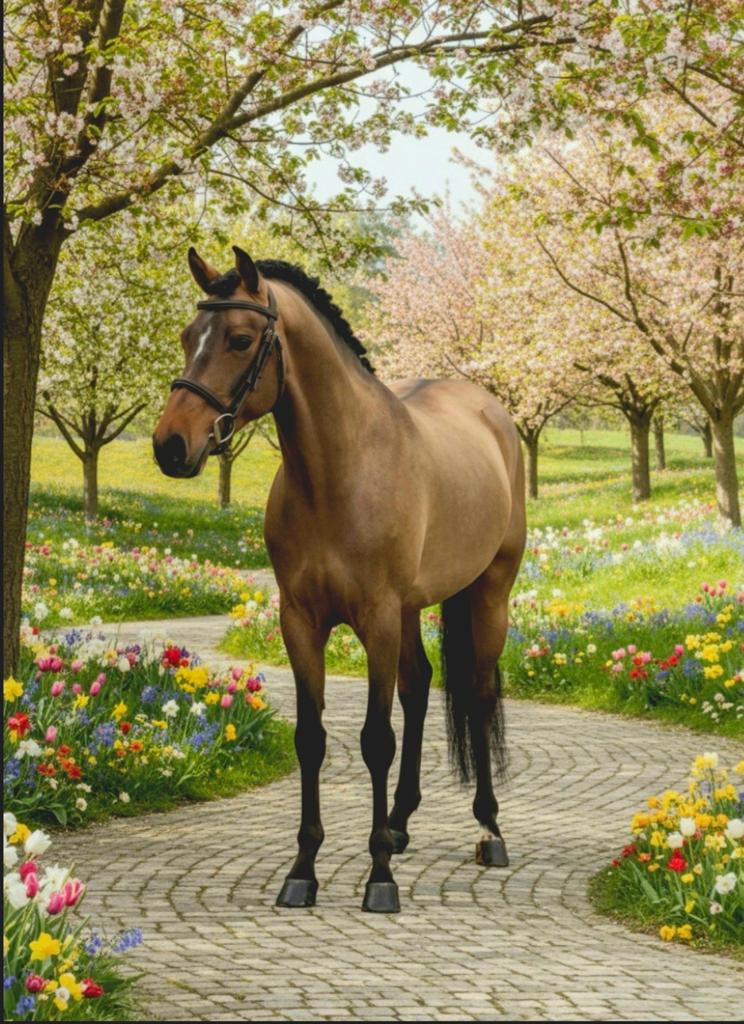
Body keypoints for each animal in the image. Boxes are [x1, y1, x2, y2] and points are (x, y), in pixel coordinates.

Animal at [153, 246, 526, 913]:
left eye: (240, 339)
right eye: (187, 337)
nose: (171, 445)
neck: (340, 469)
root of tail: (493, 414)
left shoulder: (375, 618)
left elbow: (376, 739)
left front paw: (379, 880)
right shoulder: (301, 622)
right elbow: (312, 738)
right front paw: (303, 869)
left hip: (488, 594)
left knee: (479, 695)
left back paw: (489, 830)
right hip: (411, 610)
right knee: (419, 685)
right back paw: (399, 824)